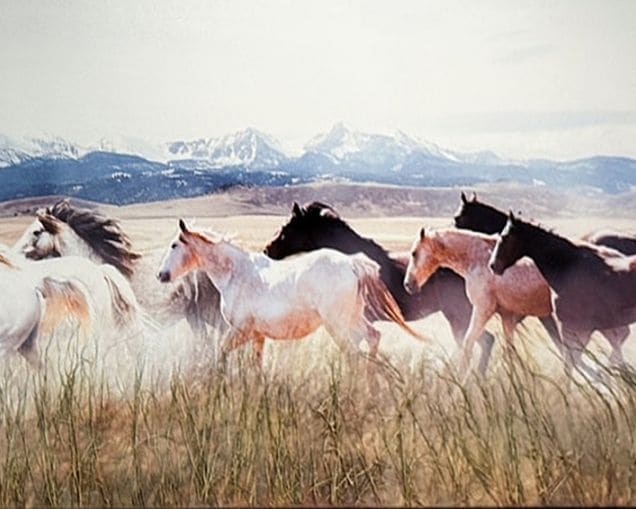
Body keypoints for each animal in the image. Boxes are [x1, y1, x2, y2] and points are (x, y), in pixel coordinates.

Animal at [158, 220, 426, 382]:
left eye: (174, 245)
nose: (161, 275)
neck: (236, 273)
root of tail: (352, 263)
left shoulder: (240, 330)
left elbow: (221, 353)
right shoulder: (257, 335)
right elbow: (256, 366)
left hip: (338, 325)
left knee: (354, 353)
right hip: (353, 319)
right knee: (372, 337)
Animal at [403, 227, 567, 374]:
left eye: (414, 253)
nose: (408, 284)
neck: (478, 260)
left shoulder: (483, 309)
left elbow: (468, 343)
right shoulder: (507, 315)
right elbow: (509, 350)